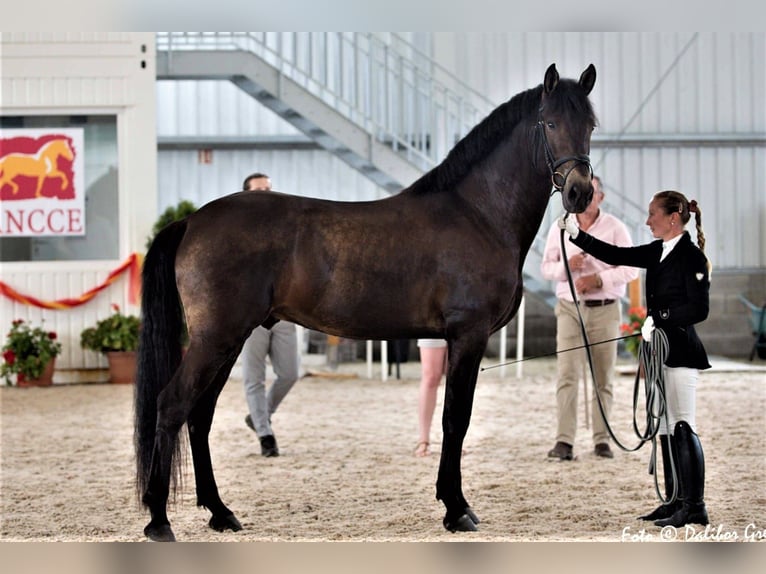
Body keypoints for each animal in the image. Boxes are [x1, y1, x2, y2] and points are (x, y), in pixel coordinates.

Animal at [135, 64, 600, 544]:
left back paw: (220, 512)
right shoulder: (467, 335)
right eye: (549, 123)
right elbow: (456, 419)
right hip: (216, 339)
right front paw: (456, 509)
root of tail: (191, 221)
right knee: (172, 405)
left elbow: (453, 418)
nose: (580, 193)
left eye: (590, 126)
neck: (479, 214)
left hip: (227, 341)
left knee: (200, 416)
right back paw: (159, 520)